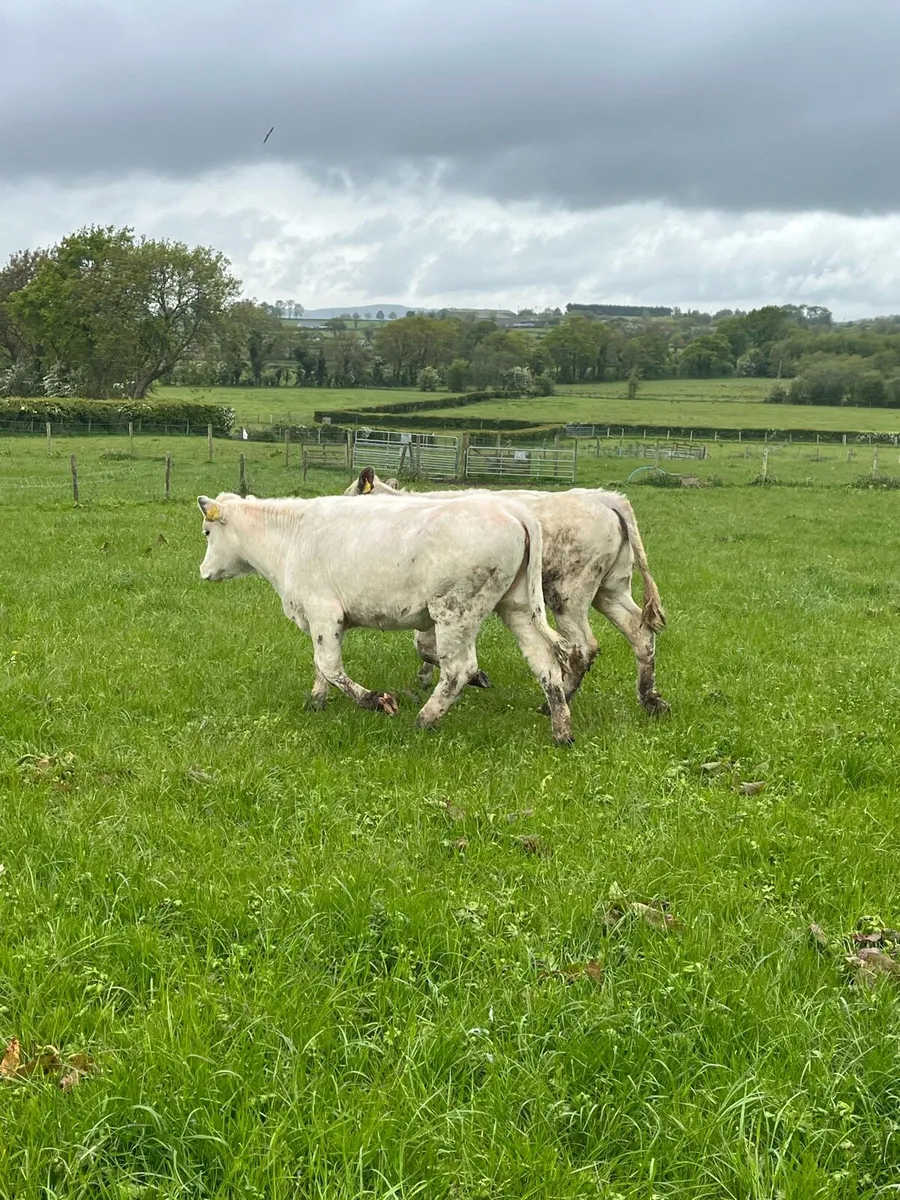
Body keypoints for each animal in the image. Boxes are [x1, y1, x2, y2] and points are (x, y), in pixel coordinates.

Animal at [196, 491, 574, 744]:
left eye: (207, 532)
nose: (203, 572)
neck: (291, 538)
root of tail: (511, 509)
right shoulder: (324, 620)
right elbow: (321, 667)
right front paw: (316, 702)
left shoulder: (323, 612)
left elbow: (330, 666)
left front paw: (377, 701)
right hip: (517, 606)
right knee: (545, 664)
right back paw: (561, 730)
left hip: (456, 611)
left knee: (458, 670)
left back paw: (424, 720)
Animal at [343, 467, 668, 715]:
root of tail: (604, 498)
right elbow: (426, 645)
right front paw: (426, 679)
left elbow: (425, 645)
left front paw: (472, 676)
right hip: (611, 589)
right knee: (639, 632)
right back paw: (649, 699)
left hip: (567, 593)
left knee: (583, 647)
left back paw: (554, 703)